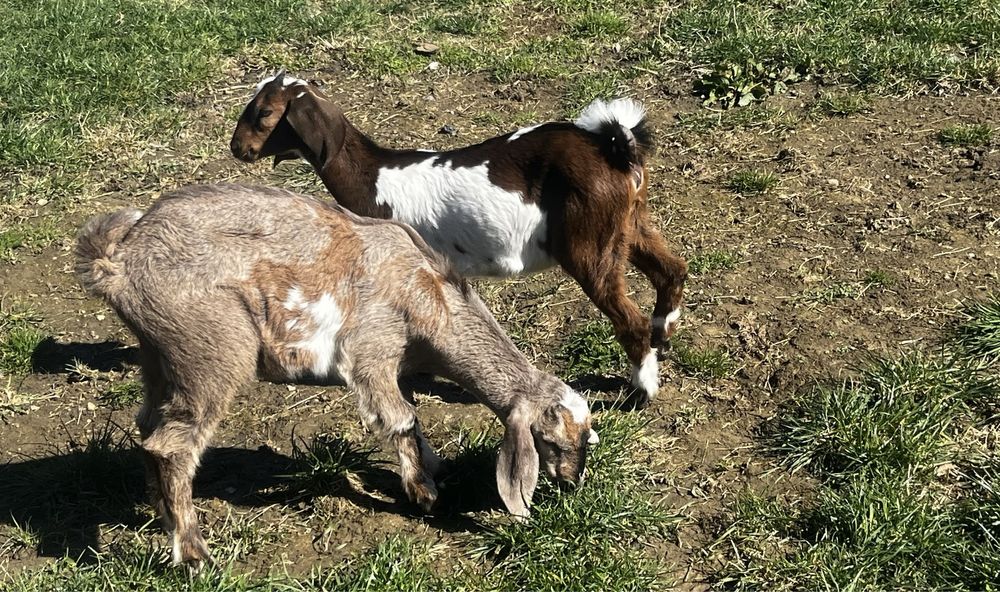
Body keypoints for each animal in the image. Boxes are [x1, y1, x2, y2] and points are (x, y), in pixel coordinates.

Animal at [78, 184, 596, 568]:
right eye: (553, 441)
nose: (573, 482)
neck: (431, 296)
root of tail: (118, 264)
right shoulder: (372, 351)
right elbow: (402, 418)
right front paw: (423, 494)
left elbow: (412, 416)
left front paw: (432, 468)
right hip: (212, 350)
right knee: (172, 445)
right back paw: (193, 554)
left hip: (160, 355)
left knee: (149, 428)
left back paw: (158, 512)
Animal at [231, 71, 692, 410]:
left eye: (264, 113)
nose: (237, 148)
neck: (374, 177)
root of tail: (615, 145)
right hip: (628, 223)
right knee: (672, 268)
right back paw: (664, 332)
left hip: (588, 241)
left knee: (628, 317)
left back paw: (642, 388)